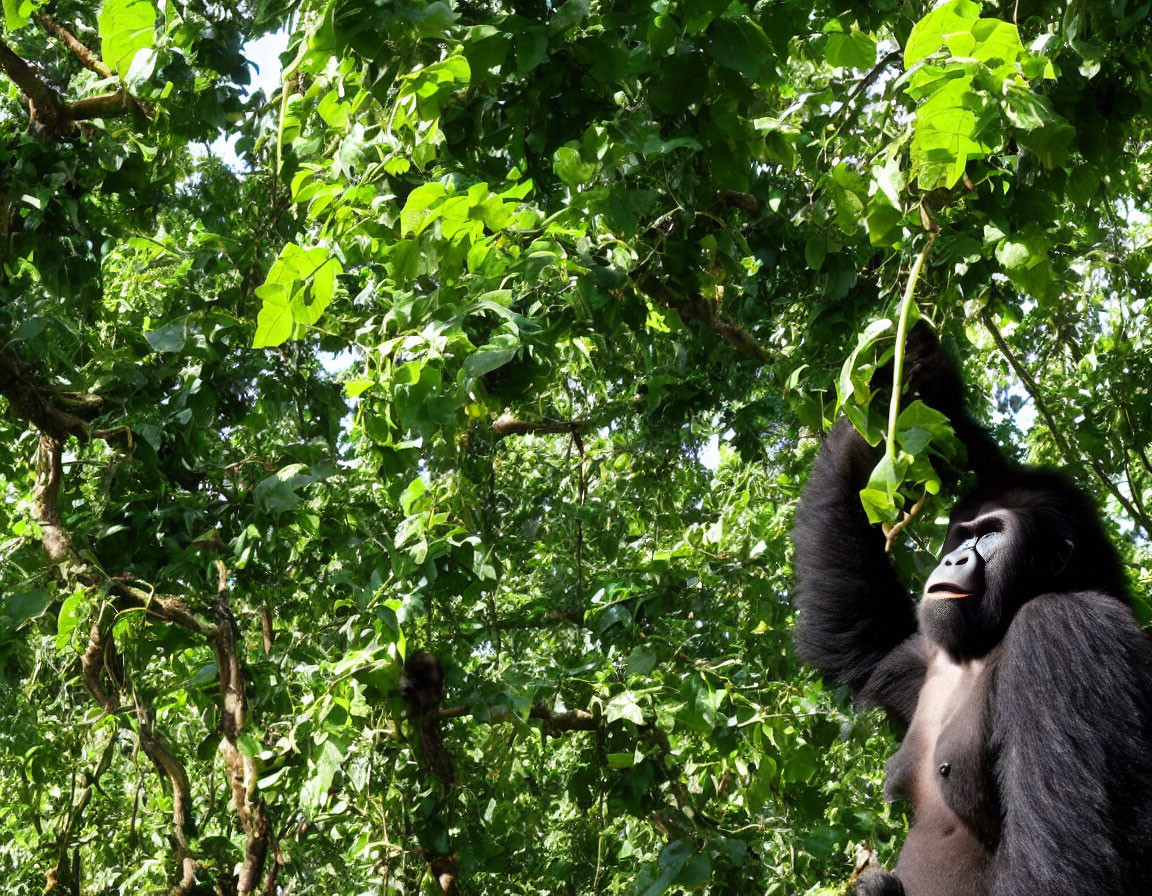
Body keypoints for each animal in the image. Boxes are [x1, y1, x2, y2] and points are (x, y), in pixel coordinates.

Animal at [797, 327, 1152, 893]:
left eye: (991, 534)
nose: (953, 557)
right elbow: (862, 640)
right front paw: (906, 379)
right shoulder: (923, 655)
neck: (995, 633)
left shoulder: (1068, 630)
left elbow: (1067, 864)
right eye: (962, 534)